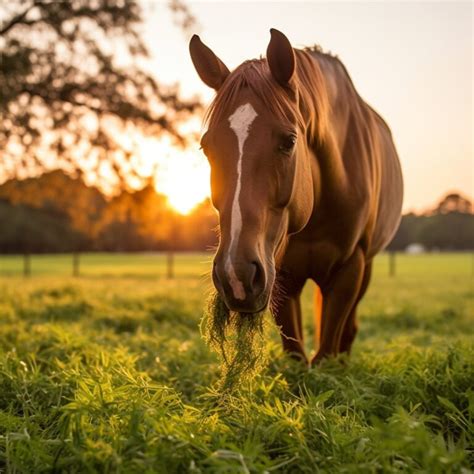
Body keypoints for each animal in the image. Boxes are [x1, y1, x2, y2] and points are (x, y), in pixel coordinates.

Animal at [189, 27, 404, 364]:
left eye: (289, 141)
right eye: (206, 147)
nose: (235, 276)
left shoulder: (350, 267)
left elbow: (327, 352)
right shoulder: (281, 273)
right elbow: (297, 358)